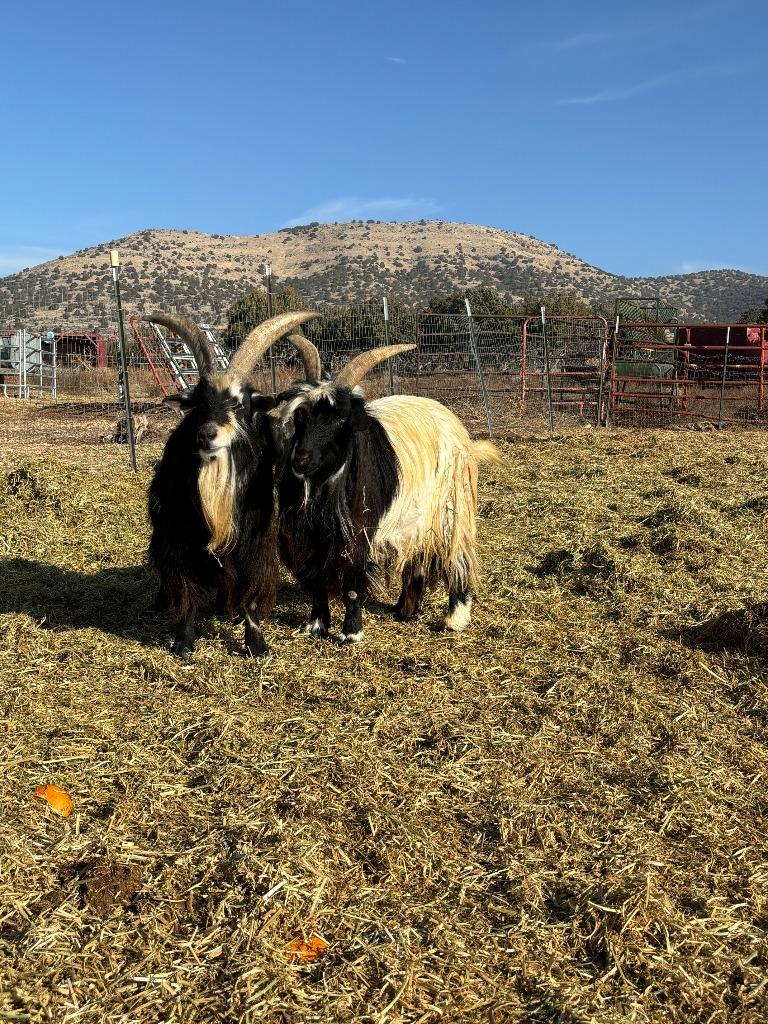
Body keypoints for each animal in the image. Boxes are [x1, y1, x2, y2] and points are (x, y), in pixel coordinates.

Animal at [147, 310, 318, 659]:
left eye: (241, 404)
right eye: (198, 403)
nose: (206, 435)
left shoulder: (255, 541)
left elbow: (250, 593)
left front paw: (257, 644)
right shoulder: (180, 539)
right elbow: (187, 591)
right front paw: (183, 642)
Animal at [277, 340, 501, 642]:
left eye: (341, 421)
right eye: (300, 416)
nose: (301, 459)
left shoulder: (359, 532)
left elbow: (352, 584)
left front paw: (351, 633)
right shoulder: (310, 539)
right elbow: (316, 580)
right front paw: (316, 626)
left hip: (452, 509)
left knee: (458, 557)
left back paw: (455, 618)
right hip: (417, 519)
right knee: (417, 558)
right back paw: (405, 609)